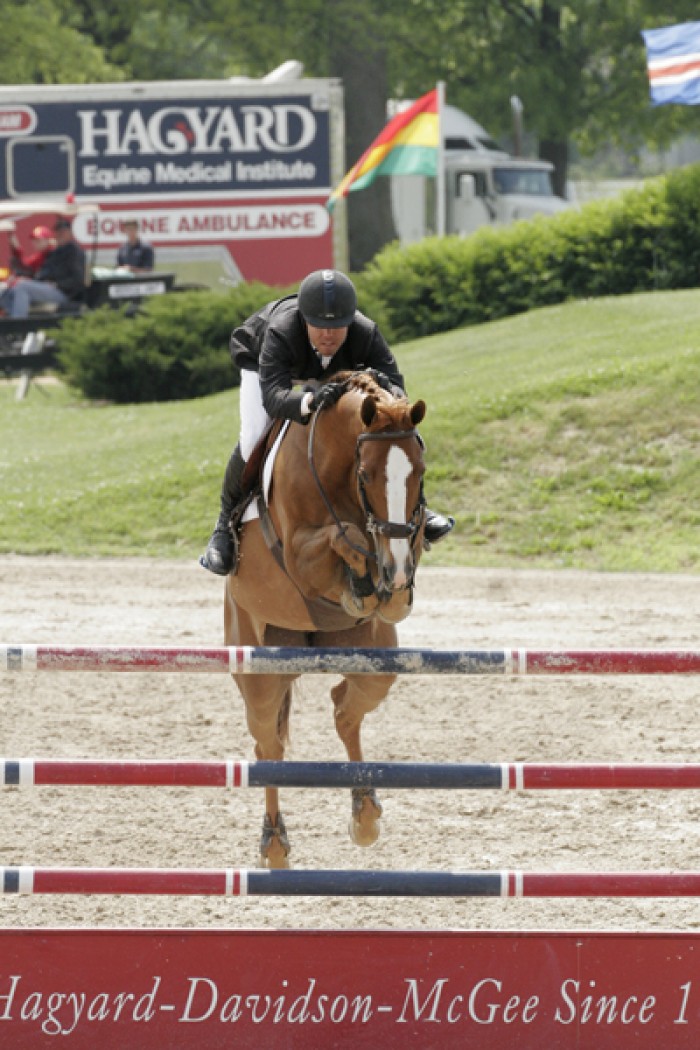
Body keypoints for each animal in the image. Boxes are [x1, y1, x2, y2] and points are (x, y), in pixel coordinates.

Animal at [225, 373, 428, 865]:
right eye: (366, 474)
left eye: (420, 472)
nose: (395, 572)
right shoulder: (300, 555)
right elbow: (344, 534)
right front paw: (362, 582)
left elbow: (398, 553)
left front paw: (386, 586)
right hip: (259, 671)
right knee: (268, 744)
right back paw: (274, 843)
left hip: (374, 662)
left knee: (343, 708)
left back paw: (365, 814)